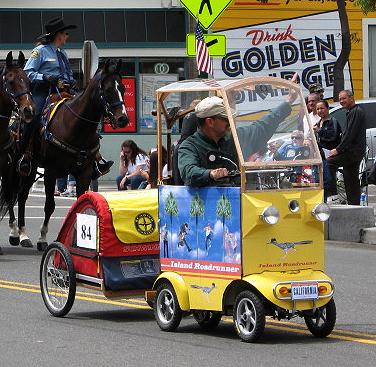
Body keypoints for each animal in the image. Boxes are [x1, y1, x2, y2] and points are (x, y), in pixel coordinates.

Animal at [1, 59, 129, 250]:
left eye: (123, 88)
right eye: (107, 90)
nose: (123, 119)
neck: (75, 126)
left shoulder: (84, 173)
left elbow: (80, 204)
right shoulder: (51, 172)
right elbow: (49, 205)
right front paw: (42, 238)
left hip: (30, 170)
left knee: (22, 197)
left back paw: (24, 235)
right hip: (13, 167)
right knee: (12, 194)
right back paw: (15, 233)